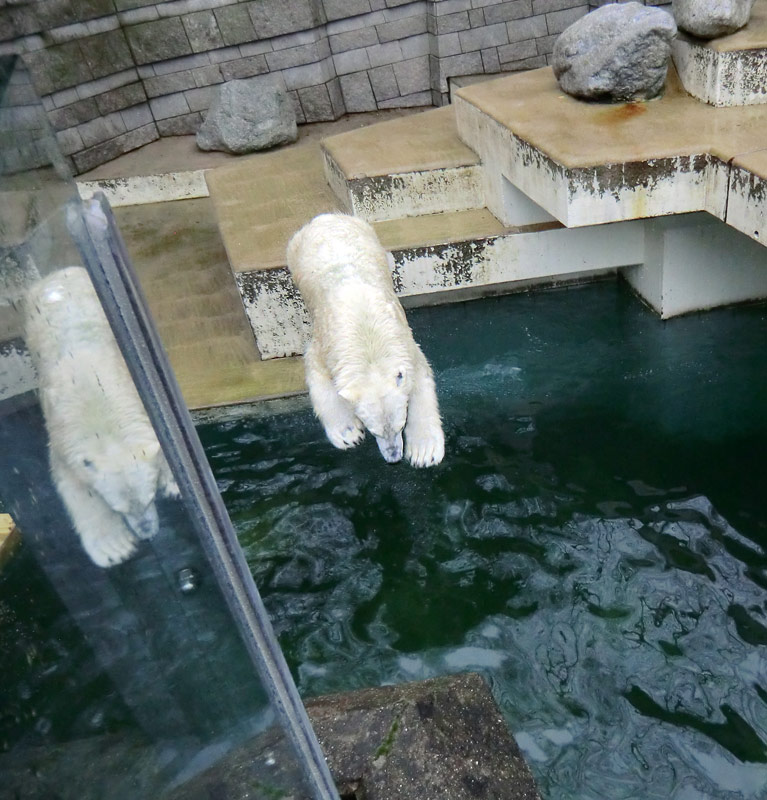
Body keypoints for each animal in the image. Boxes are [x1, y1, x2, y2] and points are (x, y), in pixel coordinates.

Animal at [22, 268, 180, 568]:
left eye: (150, 497)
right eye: (118, 508)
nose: (147, 533)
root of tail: (59, 272)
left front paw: (173, 483)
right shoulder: (65, 442)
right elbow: (75, 487)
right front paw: (115, 547)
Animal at [286, 212, 444, 468]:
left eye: (400, 425)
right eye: (374, 431)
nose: (394, 458)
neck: (367, 342)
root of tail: (326, 218)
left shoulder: (404, 344)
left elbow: (420, 377)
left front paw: (423, 451)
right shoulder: (325, 345)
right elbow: (316, 373)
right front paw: (348, 433)